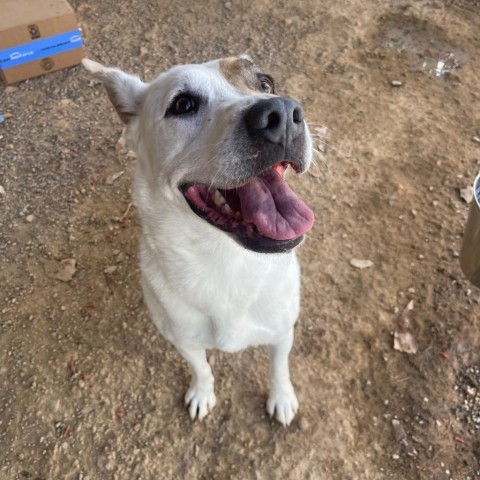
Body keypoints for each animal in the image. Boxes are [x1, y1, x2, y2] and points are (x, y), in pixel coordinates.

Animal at [82, 54, 316, 426]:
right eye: (183, 104)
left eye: (265, 84)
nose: (281, 113)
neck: (227, 263)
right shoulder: (184, 340)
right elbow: (202, 368)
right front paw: (202, 394)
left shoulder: (282, 332)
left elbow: (279, 367)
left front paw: (281, 397)